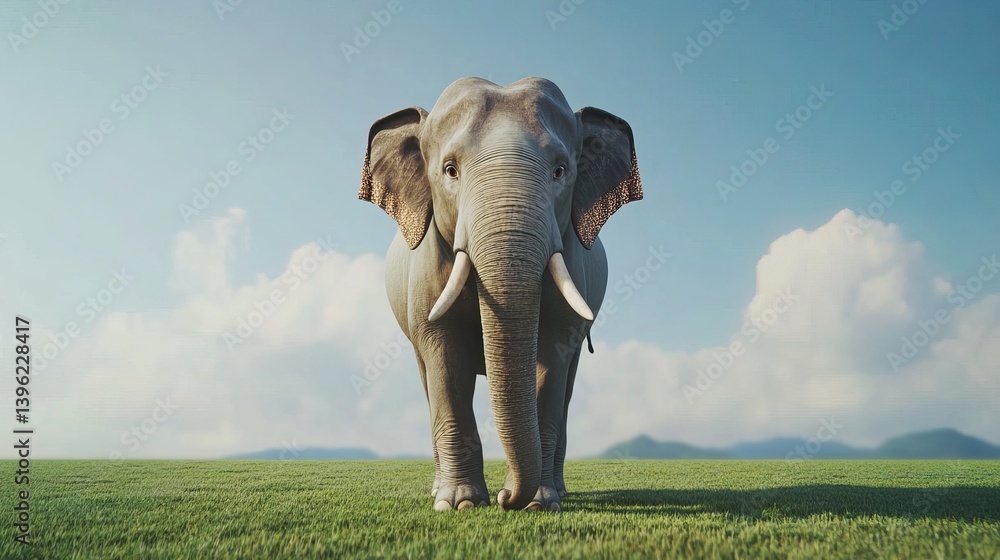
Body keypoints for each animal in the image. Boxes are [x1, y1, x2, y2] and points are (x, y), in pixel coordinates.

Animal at [358, 77, 642, 511]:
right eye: (450, 170)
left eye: (560, 170)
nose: (505, 497)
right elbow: (444, 356)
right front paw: (458, 504)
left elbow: (553, 358)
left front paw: (539, 503)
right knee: (427, 378)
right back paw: (438, 490)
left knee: (568, 383)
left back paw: (559, 491)